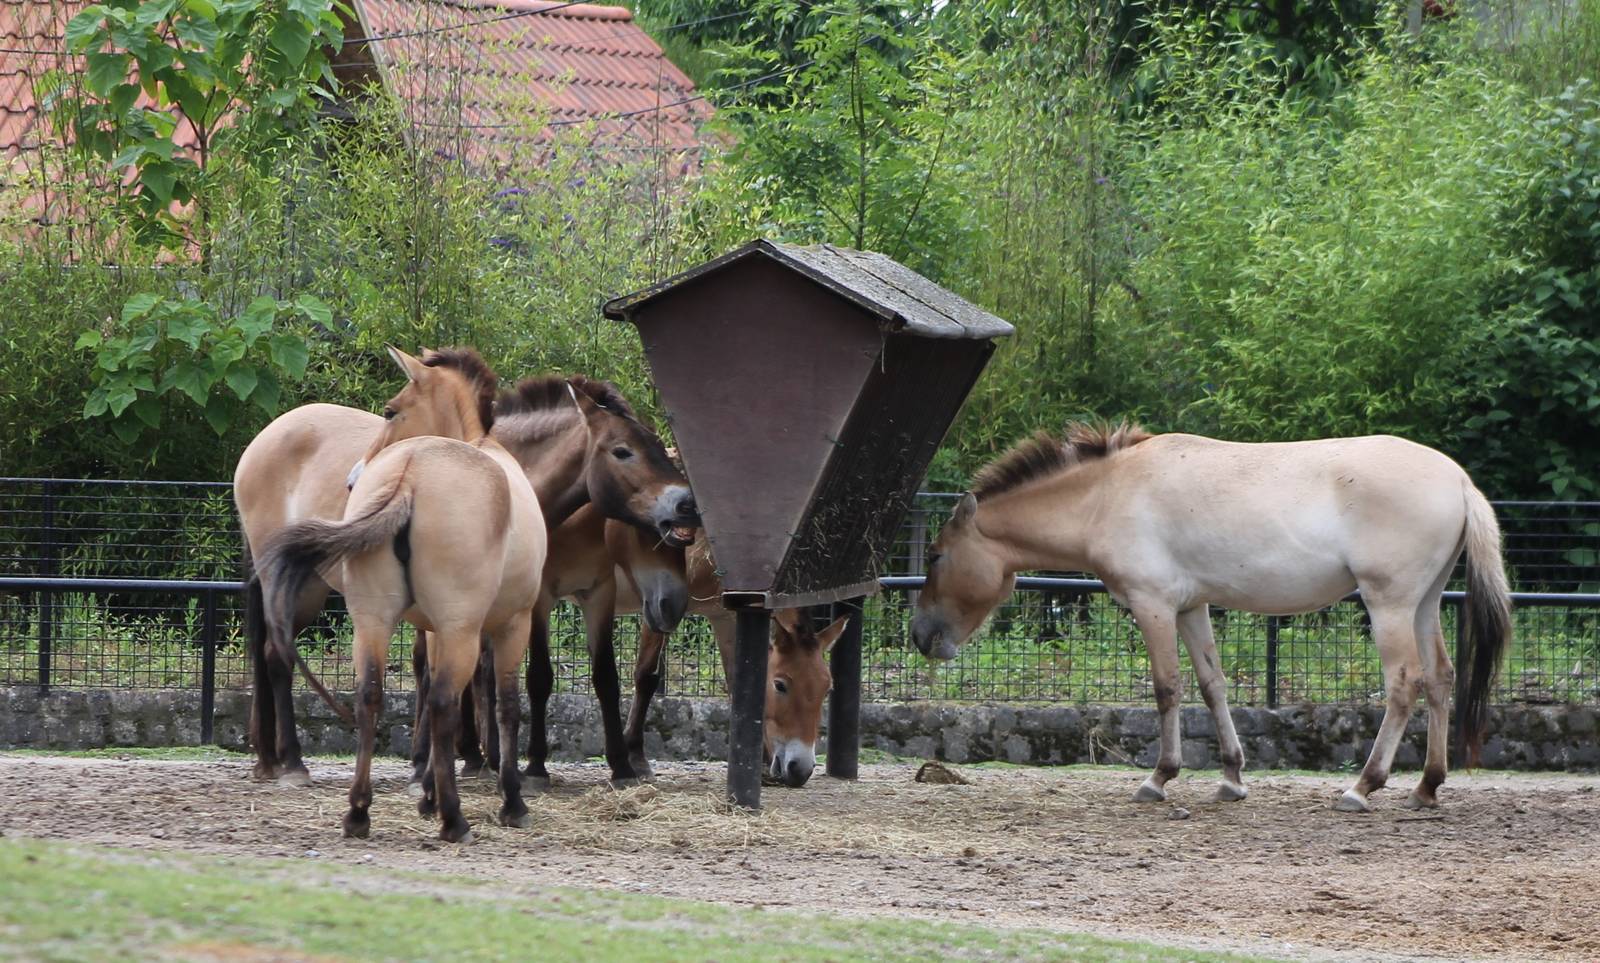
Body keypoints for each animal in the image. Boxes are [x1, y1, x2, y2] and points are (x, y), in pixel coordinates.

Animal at [235, 369, 696, 786]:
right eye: (623, 451)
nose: (686, 503)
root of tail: (264, 438)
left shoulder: (587, 594)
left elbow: (596, 676)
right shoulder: (526, 601)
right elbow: (502, 676)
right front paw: (499, 765)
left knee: (272, 650)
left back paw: (270, 759)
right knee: (277, 655)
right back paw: (293, 762)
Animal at [257, 347, 543, 841]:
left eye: (391, 411)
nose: (353, 480)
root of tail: (410, 476)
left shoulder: (433, 630)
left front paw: (426, 793)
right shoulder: (509, 624)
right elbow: (504, 707)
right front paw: (509, 801)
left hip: (371, 623)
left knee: (370, 696)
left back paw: (358, 811)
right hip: (459, 629)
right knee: (445, 702)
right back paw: (454, 820)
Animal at [909, 422, 1512, 812]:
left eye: (935, 555)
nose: (919, 636)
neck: (1108, 493)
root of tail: (1457, 479)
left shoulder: (1152, 604)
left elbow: (1167, 688)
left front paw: (1159, 778)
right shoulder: (1191, 606)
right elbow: (1212, 684)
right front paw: (1232, 776)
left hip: (1388, 605)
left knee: (1404, 684)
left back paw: (1364, 786)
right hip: (1425, 603)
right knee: (1440, 679)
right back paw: (1426, 787)